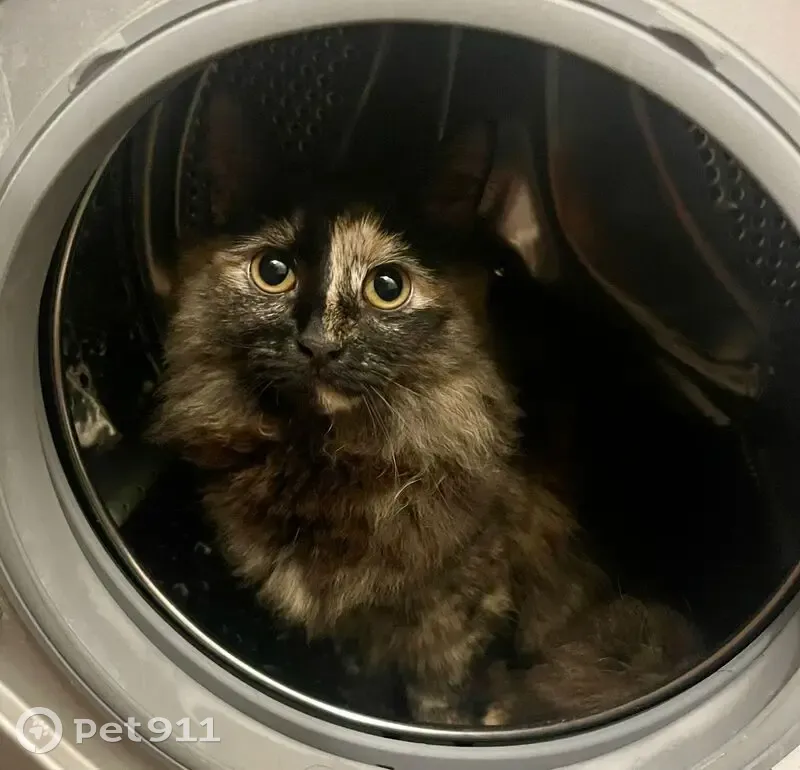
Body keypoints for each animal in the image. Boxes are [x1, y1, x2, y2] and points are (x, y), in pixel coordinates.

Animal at [147, 90, 703, 726]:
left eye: (387, 287)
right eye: (273, 272)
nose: (320, 344)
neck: (323, 458)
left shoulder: (460, 606)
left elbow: (437, 694)